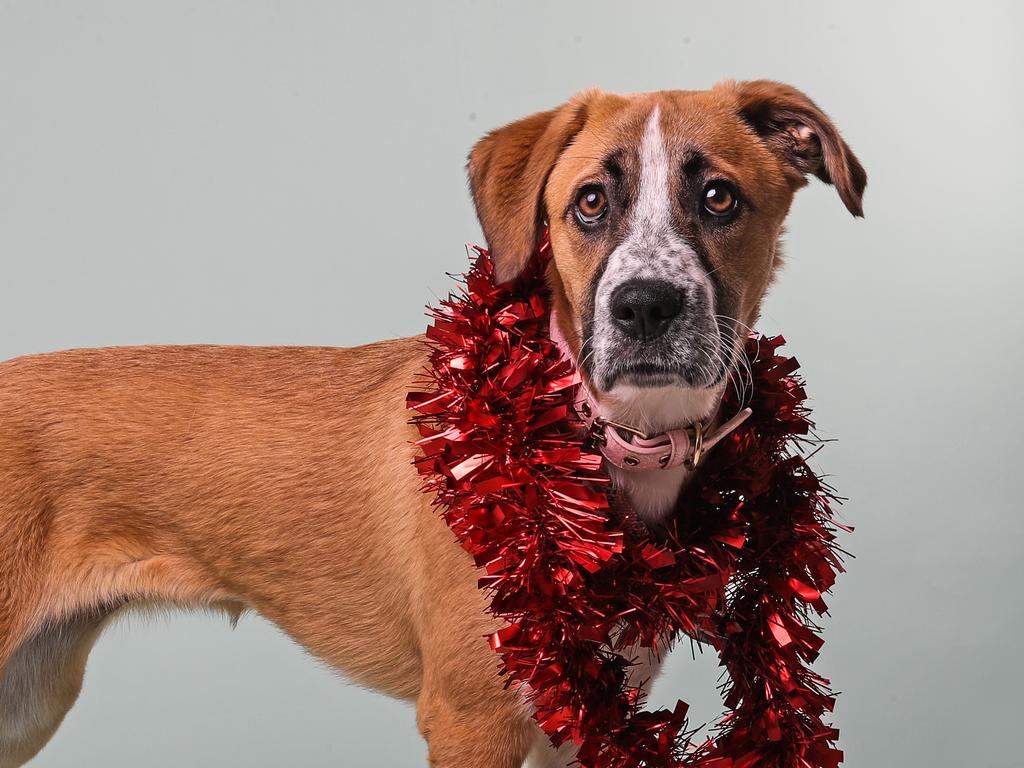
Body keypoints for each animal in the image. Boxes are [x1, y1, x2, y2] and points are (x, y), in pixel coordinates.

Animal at [0, 82, 864, 768]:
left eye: (720, 198)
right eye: (589, 202)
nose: (645, 307)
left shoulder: (582, 717)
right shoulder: (472, 719)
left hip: (27, 696)